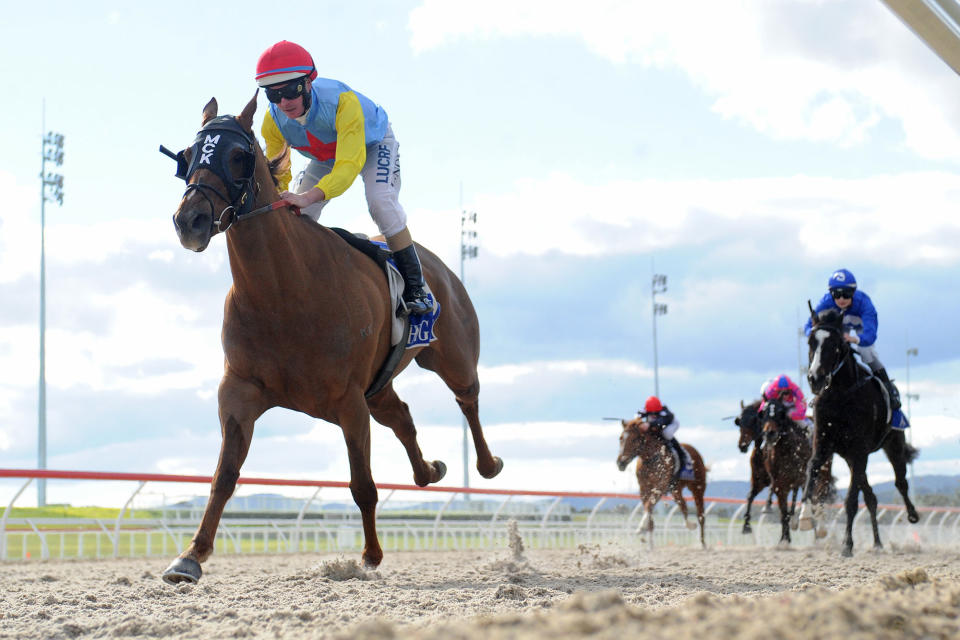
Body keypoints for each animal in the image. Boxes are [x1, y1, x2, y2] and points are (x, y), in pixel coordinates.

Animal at [159, 95, 502, 584]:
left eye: (238, 157)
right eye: (188, 156)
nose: (190, 220)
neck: (282, 292)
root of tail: (439, 265)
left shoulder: (348, 401)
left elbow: (362, 486)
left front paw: (370, 556)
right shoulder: (240, 391)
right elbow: (224, 476)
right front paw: (190, 555)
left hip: (450, 357)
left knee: (467, 399)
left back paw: (488, 464)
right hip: (378, 386)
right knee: (402, 415)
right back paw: (428, 470)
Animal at [616, 418, 704, 548]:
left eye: (634, 439)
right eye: (621, 438)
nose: (620, 463)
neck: (651, 458)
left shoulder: (661, 486)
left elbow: (649, 505)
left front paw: (641, 528)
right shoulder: (644, 488)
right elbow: (648, 509)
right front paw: (649, 543)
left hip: (698, 487)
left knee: (700, 515)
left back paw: (703, 543)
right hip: (676, 489)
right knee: (682, 504)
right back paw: (690, 525)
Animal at [800, 304, 920, 556]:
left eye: (835, 343)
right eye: (810, 342)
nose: (815, 378)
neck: (840, 395)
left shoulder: (859, 450)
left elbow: (851, 501)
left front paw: (847, 544)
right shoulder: (824, 445)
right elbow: (811, 468)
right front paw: (804, 515)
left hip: (893, 443)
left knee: (900, 482)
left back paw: (912, 514)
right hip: (850, 456)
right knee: (871, 496)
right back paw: (877, 542)